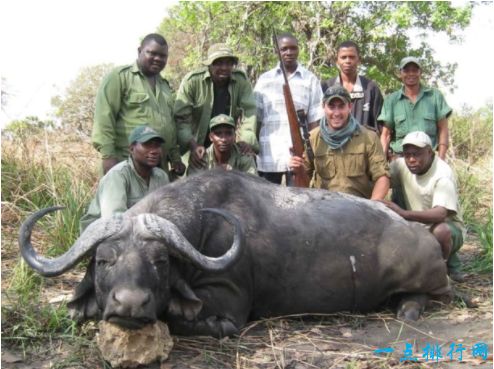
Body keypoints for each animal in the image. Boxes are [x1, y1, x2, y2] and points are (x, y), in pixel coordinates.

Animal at [19, 170, 452, 336]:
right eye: (104, 260)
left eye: (160, 262)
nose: (130, 304)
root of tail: (422, 234)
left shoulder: (227, 310)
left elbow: (180, 317)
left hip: (426, 279)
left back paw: (407, 309)